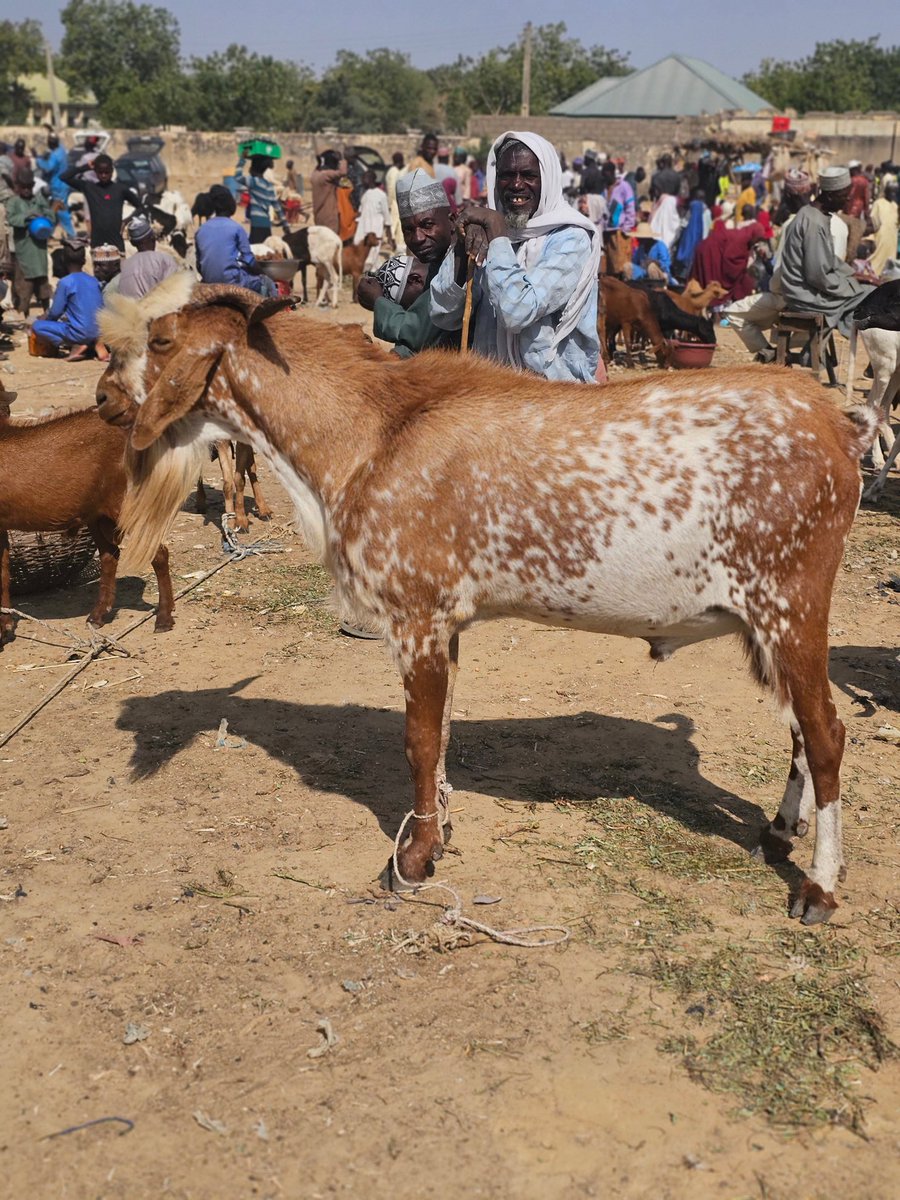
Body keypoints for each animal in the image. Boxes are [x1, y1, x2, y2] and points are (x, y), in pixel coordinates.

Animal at [0, 387, 174, 646]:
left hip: (125, 505)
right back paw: (99, 615)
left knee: (159, 552)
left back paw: (164, 618)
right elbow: (3, 574)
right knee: (110, 555)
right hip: (98, 516)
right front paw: (5, 628)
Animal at [95, 280, 878, 926]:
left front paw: (413, 860)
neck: (372, 432)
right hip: (768, 622)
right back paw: (779, 829)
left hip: (790, 601)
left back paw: (819, 888)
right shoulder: (447, 622)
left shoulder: (414, 613)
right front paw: (439, 830)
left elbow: (417, 739)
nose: (104, 398)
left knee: (828, 735)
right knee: (800, 730)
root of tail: (842, 423)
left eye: (159, 343)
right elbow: (441, 733)